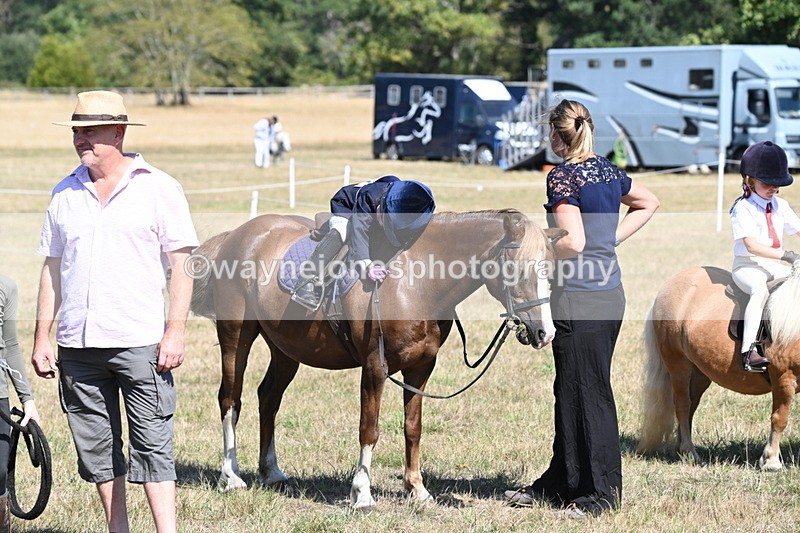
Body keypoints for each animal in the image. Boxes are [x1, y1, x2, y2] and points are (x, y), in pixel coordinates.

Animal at [189, 209, 561, 508]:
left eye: (552, 270)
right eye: (520, 270)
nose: (545, 333)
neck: (416, 281)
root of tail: (236, 236)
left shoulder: (420, 368)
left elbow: (413, 427)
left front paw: (417, 489)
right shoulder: (374, 367)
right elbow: (369, 429)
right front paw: (362, 493)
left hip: (285, 350)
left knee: (267, 398)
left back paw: (272, 471)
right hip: (236, 338)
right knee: (230, 399)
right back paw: (230, 476)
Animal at [637, 264, 800, 470]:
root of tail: (669, 285)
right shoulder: (784, 378)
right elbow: (779, 419)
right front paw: (771, 461)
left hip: (699, 373)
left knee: (691, 406)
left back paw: (681, 450)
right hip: (678, 364)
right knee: (682, 404)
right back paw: (689, 452)